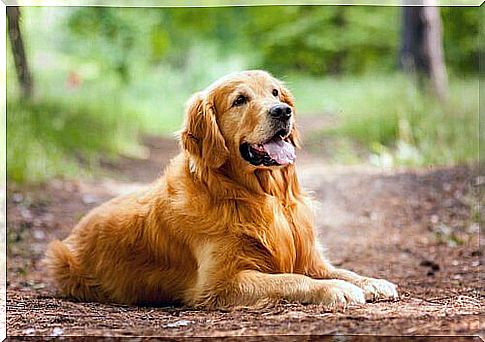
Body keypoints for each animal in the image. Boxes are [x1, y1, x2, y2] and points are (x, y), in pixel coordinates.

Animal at [43, 70, 396, 310]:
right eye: (240, 100)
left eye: (276, 94)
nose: (283, 112)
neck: (260, 196)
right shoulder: (220, 283)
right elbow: (291, 278)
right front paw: (335, 289)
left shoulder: (309, 256)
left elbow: (340, 270)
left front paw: (371, 282)